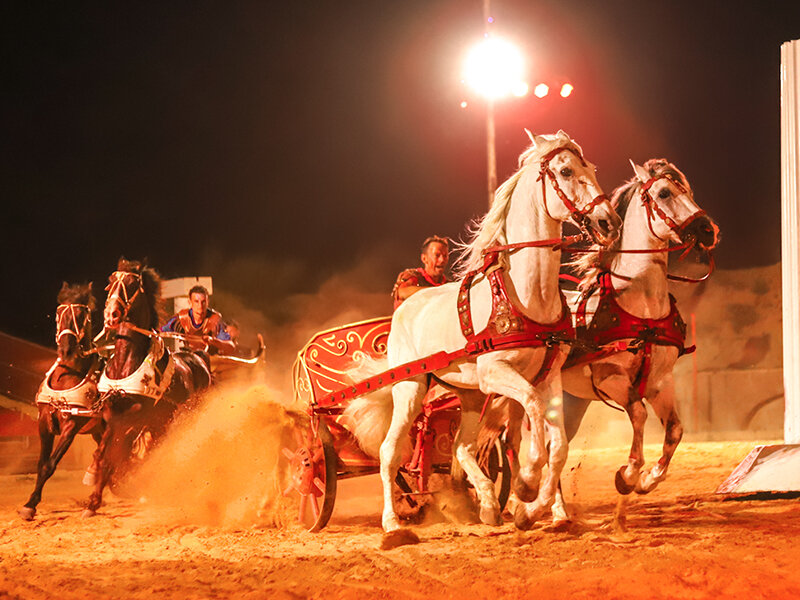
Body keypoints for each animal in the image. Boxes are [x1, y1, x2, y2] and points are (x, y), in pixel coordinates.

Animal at [19, 282, 104, 520]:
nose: (66, 350)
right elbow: (41, 464)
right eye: (59, 312)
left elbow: (50, 465)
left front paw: (31, 504)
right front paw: (30, 503)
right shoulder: (44, 423)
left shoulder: (71, 426)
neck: (66, 378)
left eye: (82, 314)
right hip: (97, 430)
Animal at [83, 258, 212, 516]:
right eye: (111, 282)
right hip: (162, 423)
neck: (125, 365)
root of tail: (199, 357)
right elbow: (103, 453)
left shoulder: (135, 418)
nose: (111, 314)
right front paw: (94, 495)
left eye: (132, 284)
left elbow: (114, 454)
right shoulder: (111, 415)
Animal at [378, 130, 620, 528]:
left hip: (470, 396)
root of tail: (404, 308)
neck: (527, 295)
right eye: (566, 171)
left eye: (591, 169)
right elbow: (533, 417)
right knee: (389, 451)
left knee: (462, 447)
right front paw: (527, 485)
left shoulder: (549, 376)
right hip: (410, 387)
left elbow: (558, 447)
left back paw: (489, 505)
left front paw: (534, 508)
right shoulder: (497, 374)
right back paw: (392, 523)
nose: (608, 222)